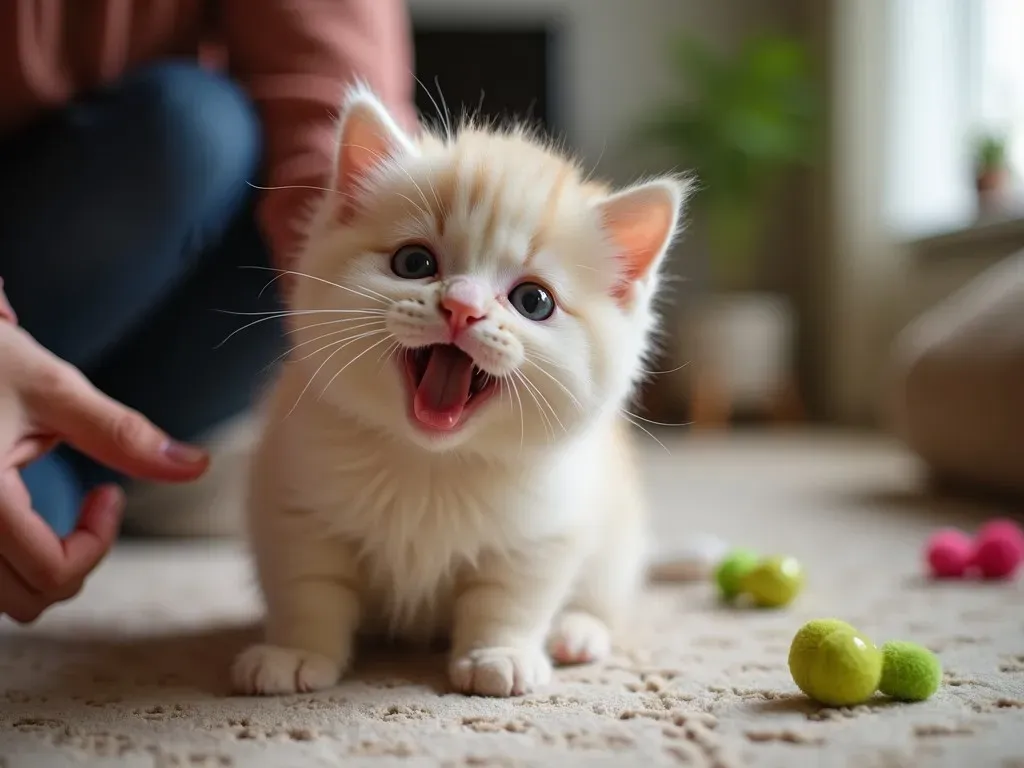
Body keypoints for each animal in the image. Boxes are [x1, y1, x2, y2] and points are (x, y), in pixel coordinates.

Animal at [232, 83, 688, 696]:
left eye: (533, 301)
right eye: (414, 262)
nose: (462, 307)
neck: (433, 465)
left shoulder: (544, 530)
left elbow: (509, 598)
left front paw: (500, 654)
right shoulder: (293, 503)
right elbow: (311, 587)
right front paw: (295, 652)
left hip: (617, 539)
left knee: (605, 596)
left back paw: (579, 632)